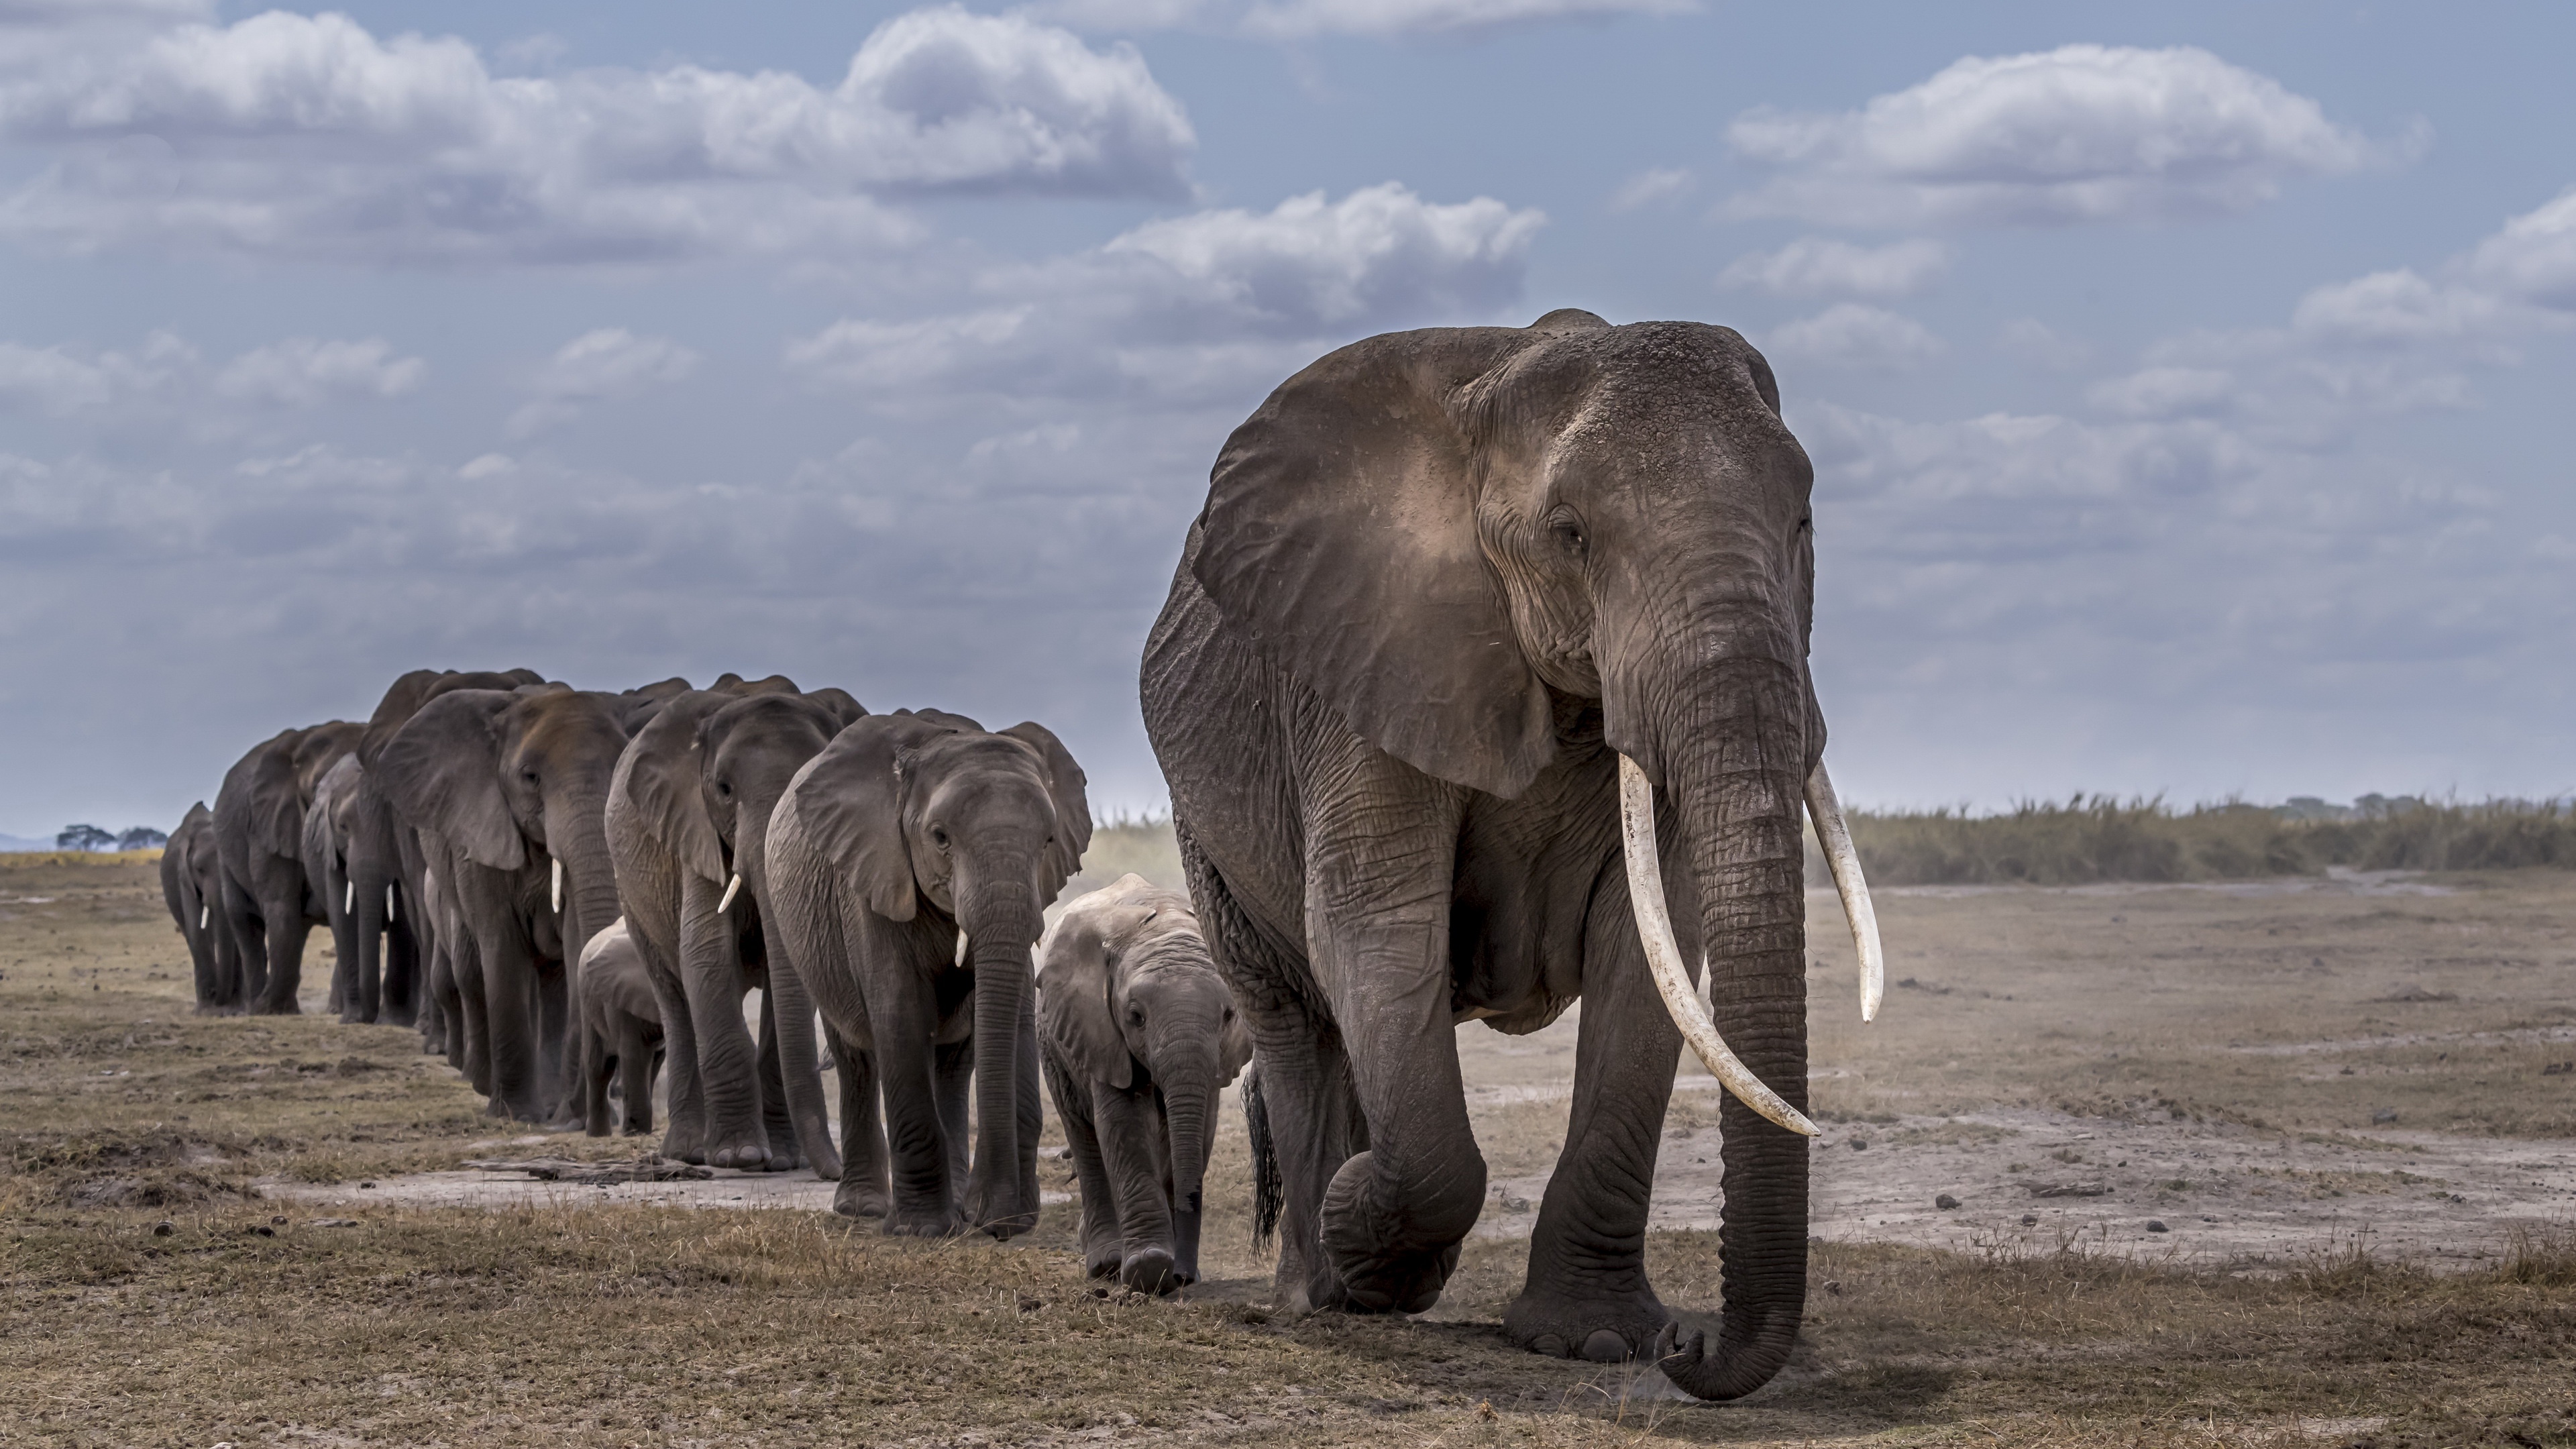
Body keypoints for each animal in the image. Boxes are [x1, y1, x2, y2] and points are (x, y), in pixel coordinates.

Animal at [209, 716, 363, 1010]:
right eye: (316, 790)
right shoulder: (266, 828)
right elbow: (280, 905)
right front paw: (267, 1009)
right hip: (225, 853)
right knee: (245, 920)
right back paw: (257, 1006)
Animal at [597, 680, 860, 1175]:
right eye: (723, 789)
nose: (835, 1172)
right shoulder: (693, 828)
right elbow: (705, 951)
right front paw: (740, 1157)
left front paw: (781, 1161)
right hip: (632, 896)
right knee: (675, 1001)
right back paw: (690, 1151)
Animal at [757, 706, 1092, 1227]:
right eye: (940, 838)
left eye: (1049, 841)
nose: (993, 1223)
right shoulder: (873, 878)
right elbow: (900, 1012)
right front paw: (924, 1229)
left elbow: (1012, 1014)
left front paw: (997, 1218)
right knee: (856, 1057)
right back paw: (866, 1208)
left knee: (953, 1064)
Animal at [1040, 866, 1252, 1284]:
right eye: (1136, 1017)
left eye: (1229, 1016)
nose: (1184, 1276)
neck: (1162, 923)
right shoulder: (1101, 1033)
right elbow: (1124, 1124)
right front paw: (1149, 1267)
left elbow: (1197, 1130)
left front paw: (1174, 1272)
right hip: (1053, 1047)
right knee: (1083, 1136)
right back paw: (1105, 1263)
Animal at [1138, 307, 1885, 1402]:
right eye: (1570, 534)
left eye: (1803, 522)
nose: (1695, 1349)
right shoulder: (1369, 660)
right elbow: (1374, 925)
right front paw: (1367, 1243)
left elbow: (1652, 952)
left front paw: (1600, 1342)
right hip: (1206, 826)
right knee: (1293, 1015)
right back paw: (1322, 1290)